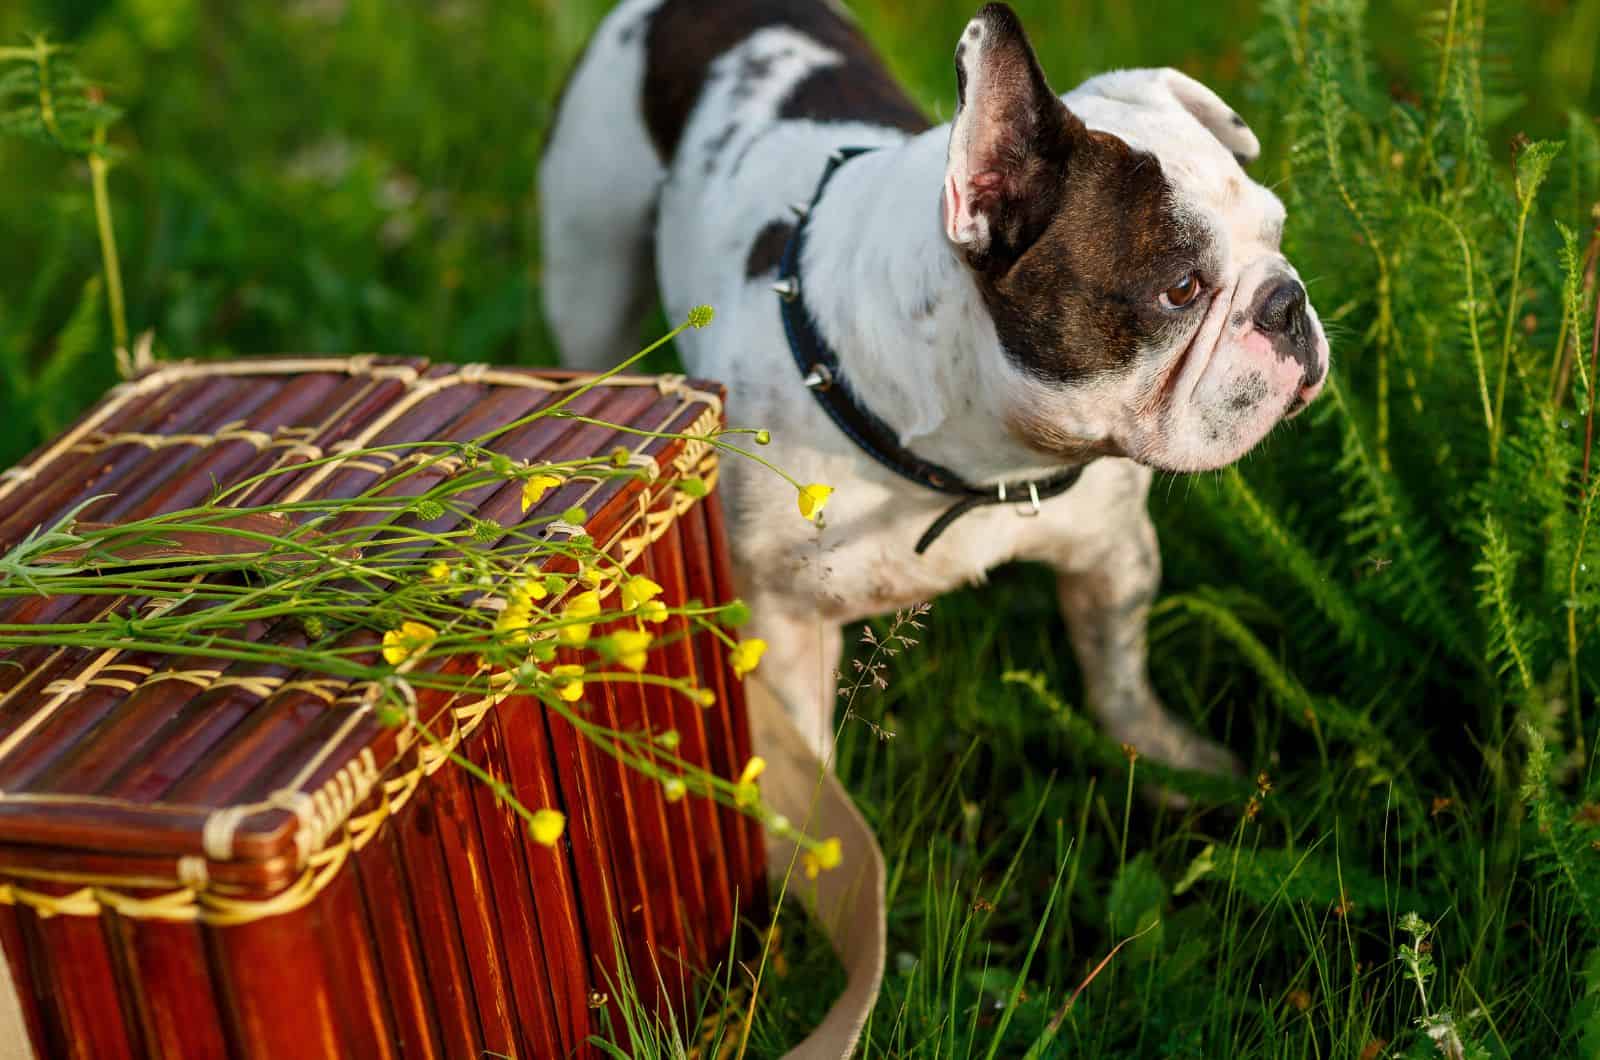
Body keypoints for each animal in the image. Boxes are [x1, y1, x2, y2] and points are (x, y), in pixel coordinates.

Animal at [544, 2, 1331, 781]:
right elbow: (812, 760)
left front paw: (1167, 761)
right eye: (1181, 289)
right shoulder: (786, 628)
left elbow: (1118, 671)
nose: (1287, 303)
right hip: (591, 279)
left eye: (1280, 232)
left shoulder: (1113, 551)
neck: (981, 460)